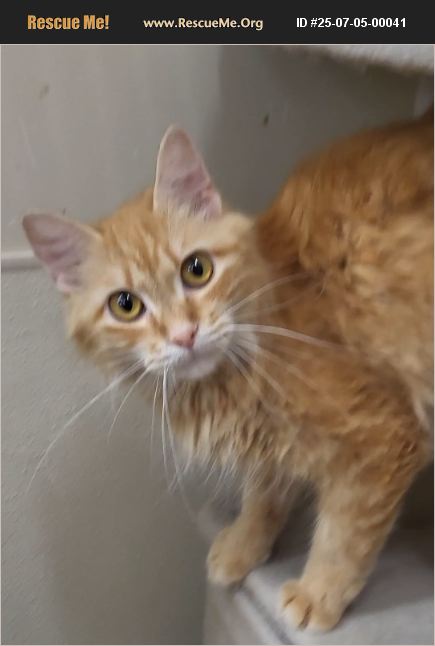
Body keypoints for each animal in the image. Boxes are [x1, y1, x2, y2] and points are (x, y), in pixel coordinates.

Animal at [23, 111, 433, 632]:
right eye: (125, 305)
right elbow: (263, 495)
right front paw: (245, 544)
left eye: (196, 270)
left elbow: (344, 535)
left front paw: (319, 592)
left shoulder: (382, 438)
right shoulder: (269, 449)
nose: (184, 334)